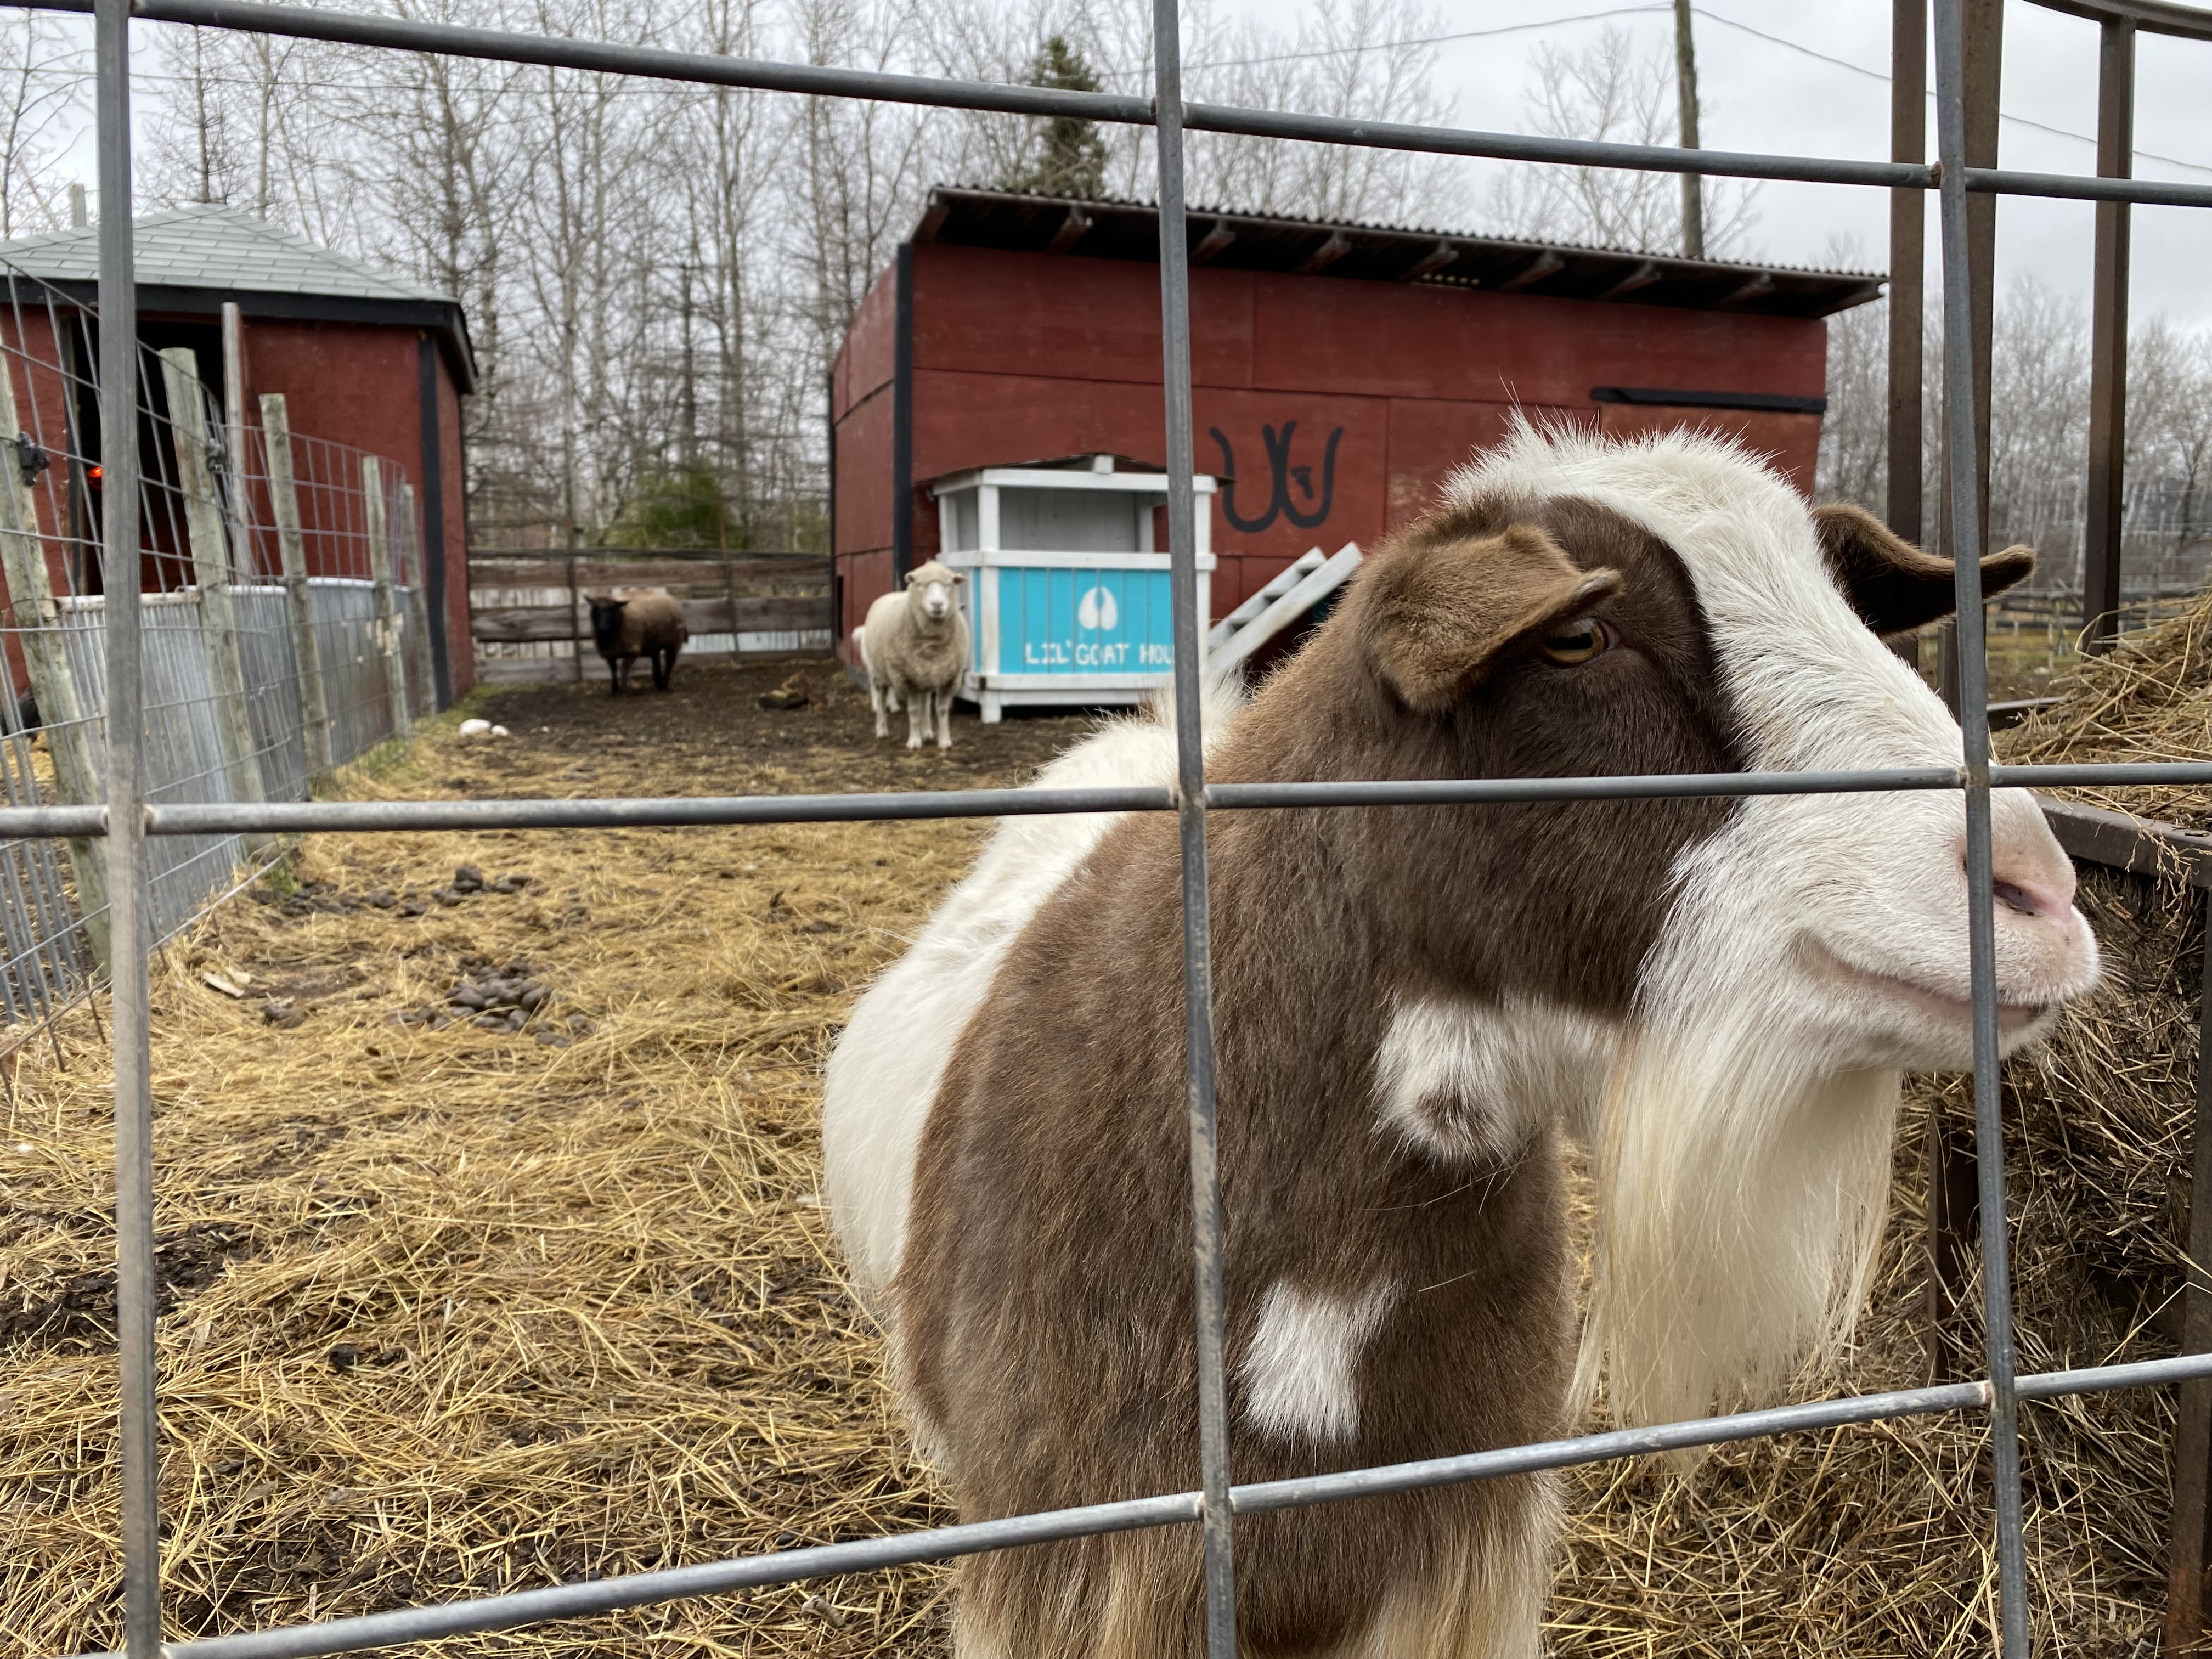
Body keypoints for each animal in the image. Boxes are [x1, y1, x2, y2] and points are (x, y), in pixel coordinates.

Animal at [584, 592, 685, 695]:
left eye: (612, 610)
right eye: (595, 609)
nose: (603, 629)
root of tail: (669, 596)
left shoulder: (632, 651)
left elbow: (624, 670)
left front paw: (623, 690)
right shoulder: (610, 653)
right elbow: (613, 670)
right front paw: (615, 689)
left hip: (674, 642)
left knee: (670, 662)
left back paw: (664, 683)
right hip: (653, 644)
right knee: (656, 660)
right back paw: (658, 682)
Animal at [854, 571, 969, 756]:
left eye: (949, 585)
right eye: (920, 585)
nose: (938, 605)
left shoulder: (942, 676)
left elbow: (936, 709)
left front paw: (941, 740)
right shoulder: (907, 678)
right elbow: (914, 711)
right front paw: (915, 741)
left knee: (924, 701)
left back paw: (925, 730)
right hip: (878, 671)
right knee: (880, 696)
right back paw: (881, 727)